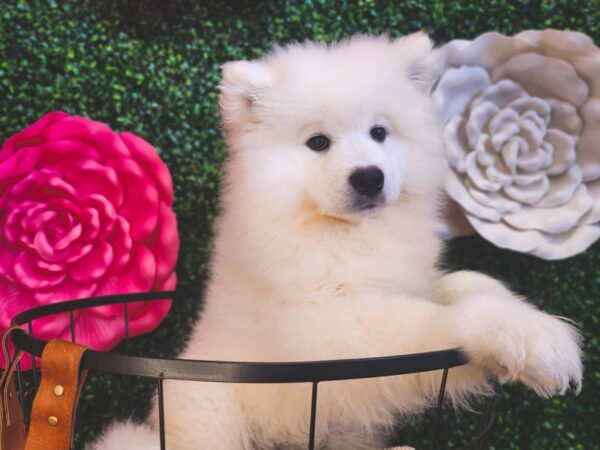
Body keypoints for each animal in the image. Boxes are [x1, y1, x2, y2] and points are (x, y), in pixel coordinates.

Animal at [92, 34, 580, 450]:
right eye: (318, 142)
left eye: (379, 132)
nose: (369, 177)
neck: (344, 233)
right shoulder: (328, 331)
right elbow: (430, 322)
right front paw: (530, 336)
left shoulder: (404, 279)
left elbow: (460, 283)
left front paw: (513, 305)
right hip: (205, 410)